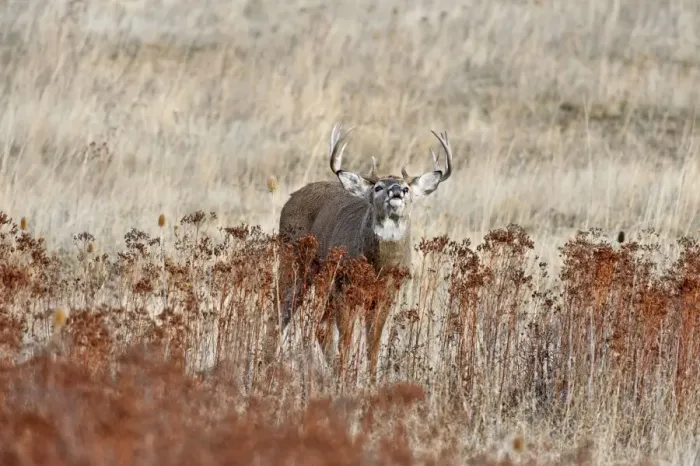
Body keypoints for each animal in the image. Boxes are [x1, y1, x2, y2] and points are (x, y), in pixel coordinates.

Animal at [274, 123, 454, 382]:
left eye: (407, 188)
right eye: (378, 187)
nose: (396, 191)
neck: (378, 267)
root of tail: (291, 198)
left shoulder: (386, 294)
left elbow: (373, 343)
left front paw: (370, 380)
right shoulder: (346, 287)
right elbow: (347, 340)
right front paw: (343, 379)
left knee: (320, 326)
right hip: (294, 261)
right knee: (282, 313)